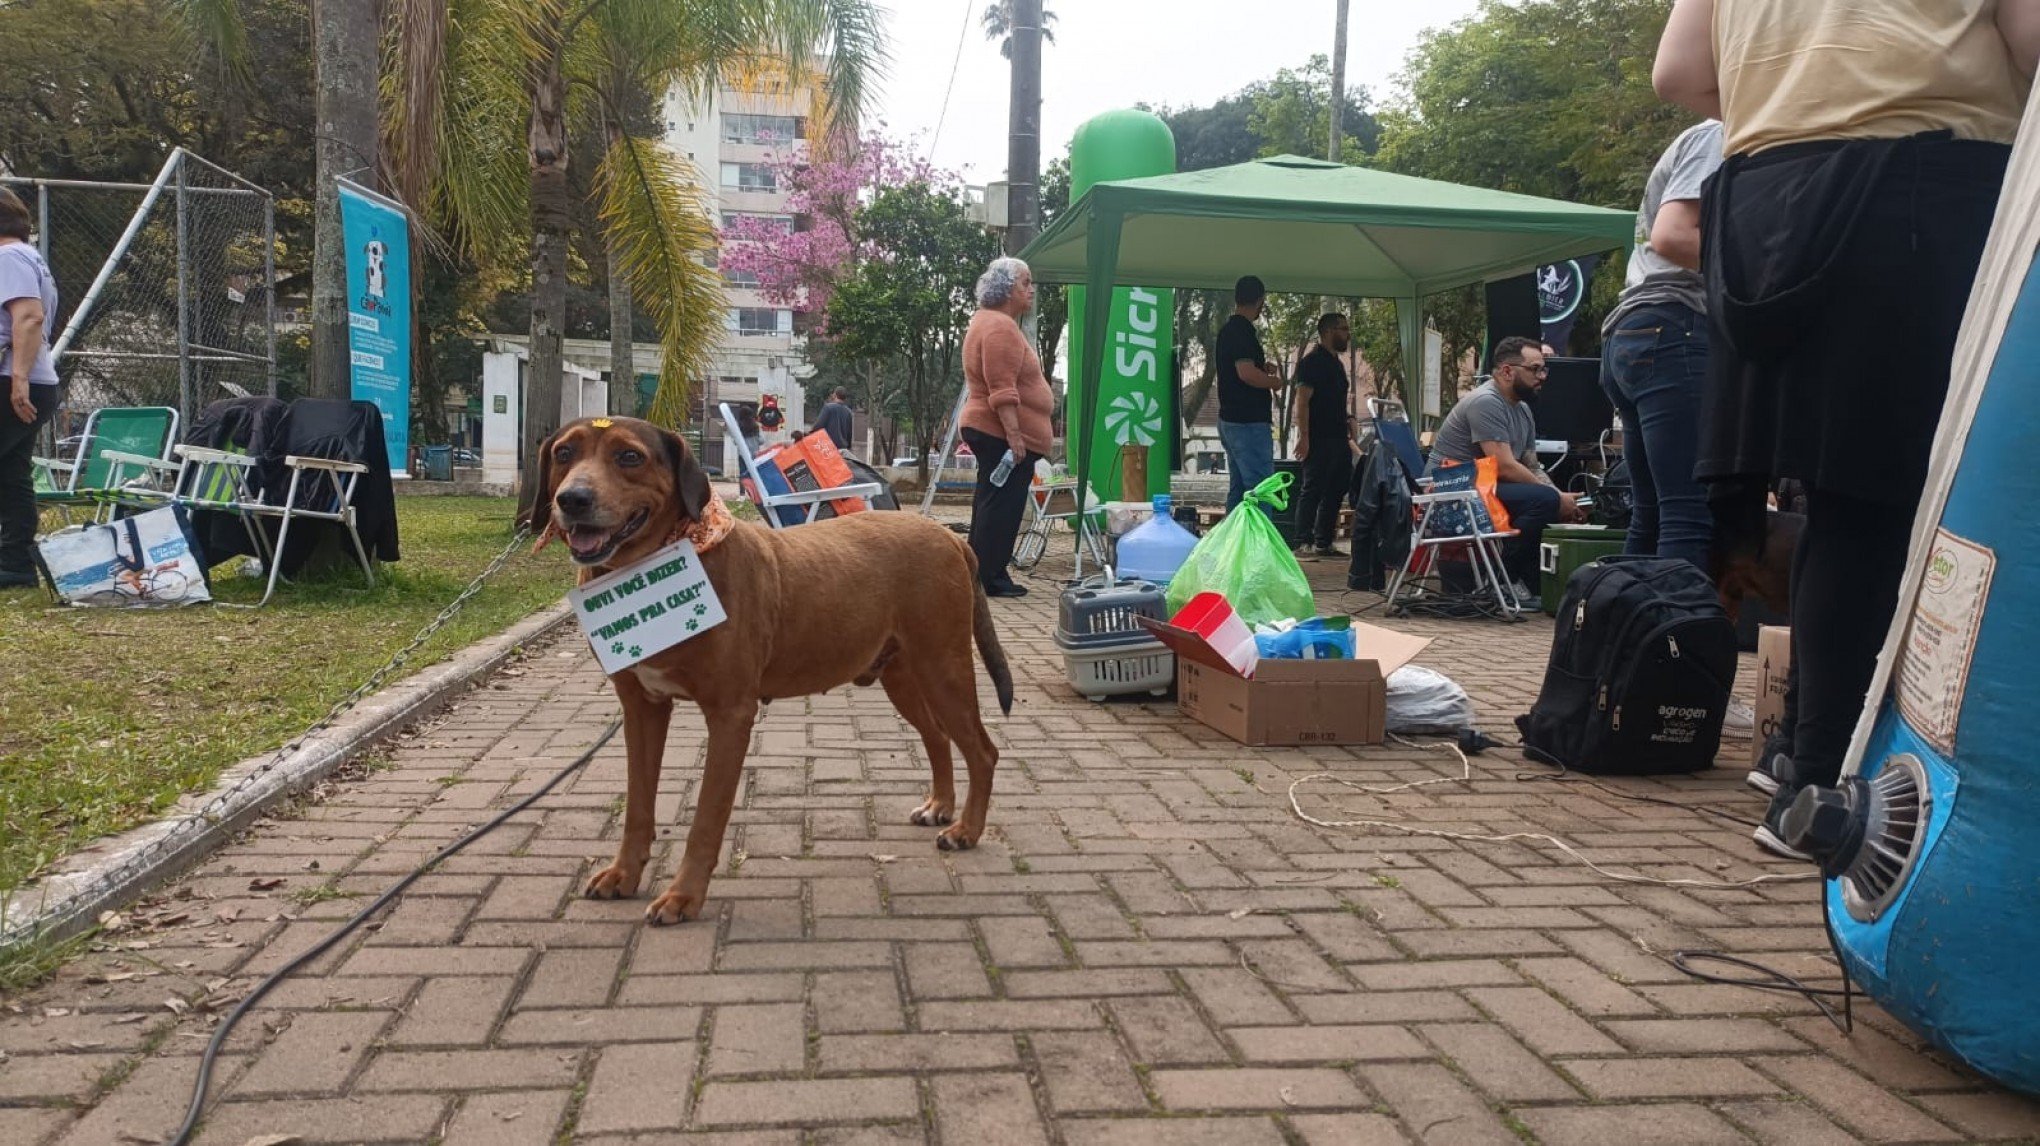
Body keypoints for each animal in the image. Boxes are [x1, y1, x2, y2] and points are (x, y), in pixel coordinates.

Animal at [522, 413, 1007, 921]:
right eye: (564, 453)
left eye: (629, 456)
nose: (572, 500)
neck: (654, 564)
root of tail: (950, 536)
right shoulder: (641, 708)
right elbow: (638, 805)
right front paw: (624, 873)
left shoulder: (730, 714)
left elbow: (707, 818)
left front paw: (684, 895)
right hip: (902, 675)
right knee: (937, 735)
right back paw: (940, 806)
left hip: (944, 666)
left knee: (982, 751)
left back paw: (967, 830)